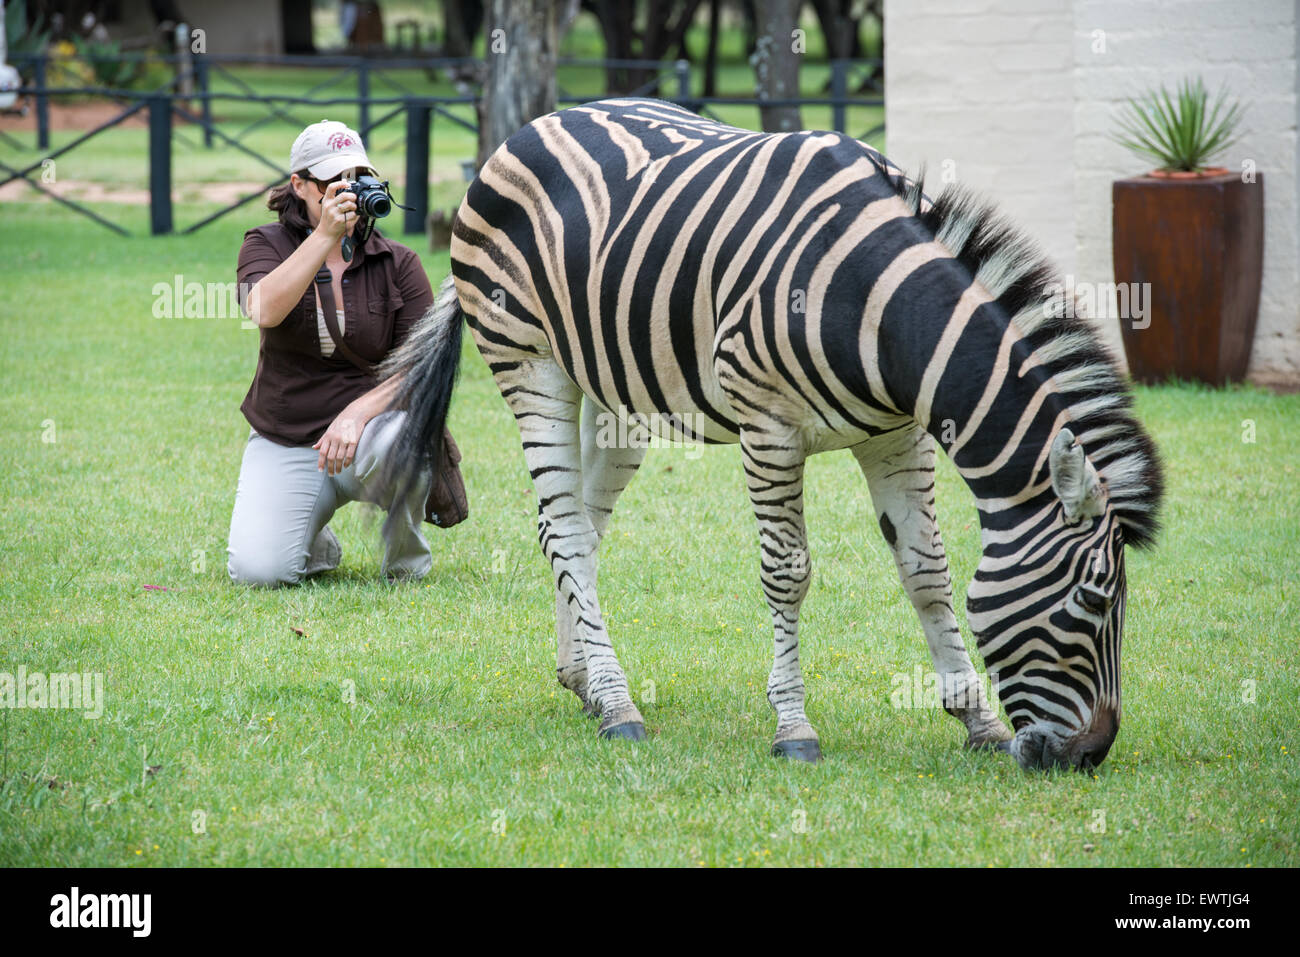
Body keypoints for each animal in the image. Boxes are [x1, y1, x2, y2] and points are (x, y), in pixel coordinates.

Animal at [381, 98, 1164, 771]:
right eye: (1094, 603)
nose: (1091, 754)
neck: (875, 305)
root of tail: (535, 125)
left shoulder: (896, 435)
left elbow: (928, 570)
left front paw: (978, 720)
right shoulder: (770, 428)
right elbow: (788, 573)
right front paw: (793, 726)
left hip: (615, 390)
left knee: (569, 528)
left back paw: (586, 681)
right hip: (528, 360)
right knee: (568, 530)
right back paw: (620, 705)